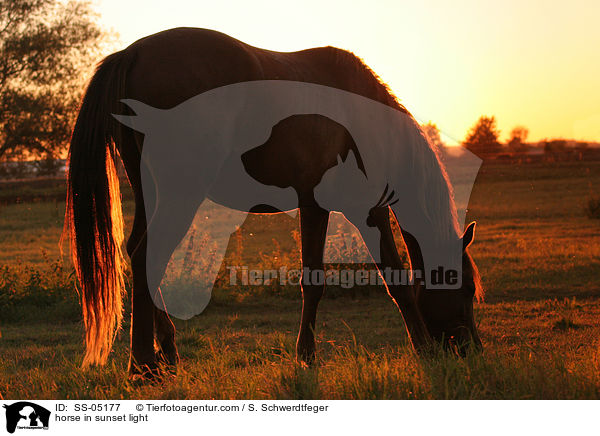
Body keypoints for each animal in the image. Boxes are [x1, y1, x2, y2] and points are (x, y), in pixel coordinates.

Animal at [64, 26, 482, 378]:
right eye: (463, 287)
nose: (473, 350)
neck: (366, 119)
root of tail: (133, 53)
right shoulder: (367, 210)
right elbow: (391, 279)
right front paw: (423, 348)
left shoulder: (315, 207)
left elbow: (314, 279)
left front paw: (306, 354)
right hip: (180, 193)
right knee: (147, 256)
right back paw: (143, 363)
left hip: (151, 190)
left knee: (141, 252)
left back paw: (166, 351)